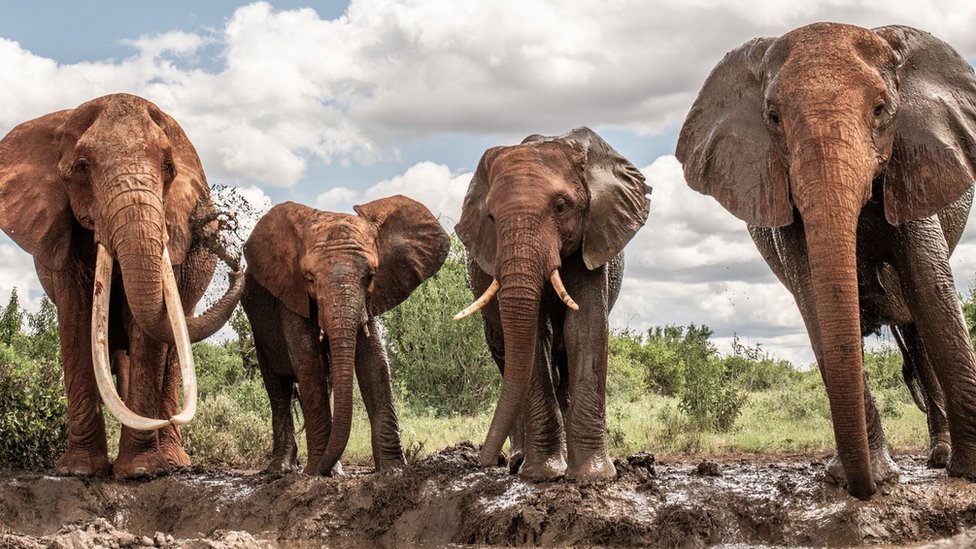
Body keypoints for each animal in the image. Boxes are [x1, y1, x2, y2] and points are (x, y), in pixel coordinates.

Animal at [0, 93, 243, 478]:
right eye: (82, 167)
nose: (236, 264)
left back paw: (173, 460)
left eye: (168, 167)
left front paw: (141, 472)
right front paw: (80, 471)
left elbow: (146, 330)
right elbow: (76, 319)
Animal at [241, 196, 450, 475]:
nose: (317, 469)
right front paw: (316, 473)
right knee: (277, 386)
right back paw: (282, 469)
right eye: (309, 279)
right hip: (259, 327)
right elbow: (309, 363)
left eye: (370, 277)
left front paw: (393, 470)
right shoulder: (290, 293)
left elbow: (375, 363)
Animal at [455, 127, 650, 481]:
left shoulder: (593, 235)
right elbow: (533, 338)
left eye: (561, 207)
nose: (484, 461)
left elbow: (585, 327)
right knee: (509, 361)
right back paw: (521, 461)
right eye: (491, 217)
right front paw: (542, 474)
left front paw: (592, 476)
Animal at [676, 23, 976, 499]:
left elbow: (933, 291)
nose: (864, 489)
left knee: (918, 333)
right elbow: (817, 301)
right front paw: (868, 477)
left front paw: (966, 473)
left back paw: (940, 457)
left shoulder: (913, 165)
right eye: (773, 117)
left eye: (881, 110)